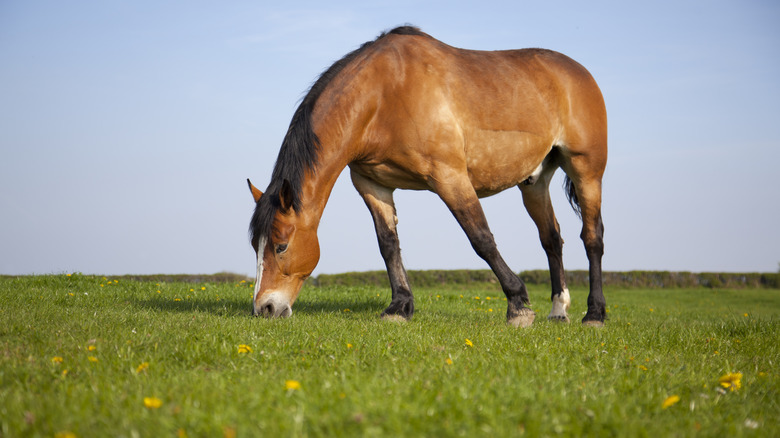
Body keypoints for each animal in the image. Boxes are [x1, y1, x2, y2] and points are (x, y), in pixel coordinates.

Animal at [247, 24, 608, 326]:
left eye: (280, 246)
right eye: (255, 246)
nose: (265, 308)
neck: (383, 96)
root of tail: (579, 73)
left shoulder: (450, 176)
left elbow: (481, 238)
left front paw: (518, 305)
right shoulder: (372, 184)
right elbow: (388, 244)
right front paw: (399, 306)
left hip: (586, 171)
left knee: (592, 237)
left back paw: (595, 314)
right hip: (534, 182)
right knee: (552, 239)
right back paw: (559, 310)